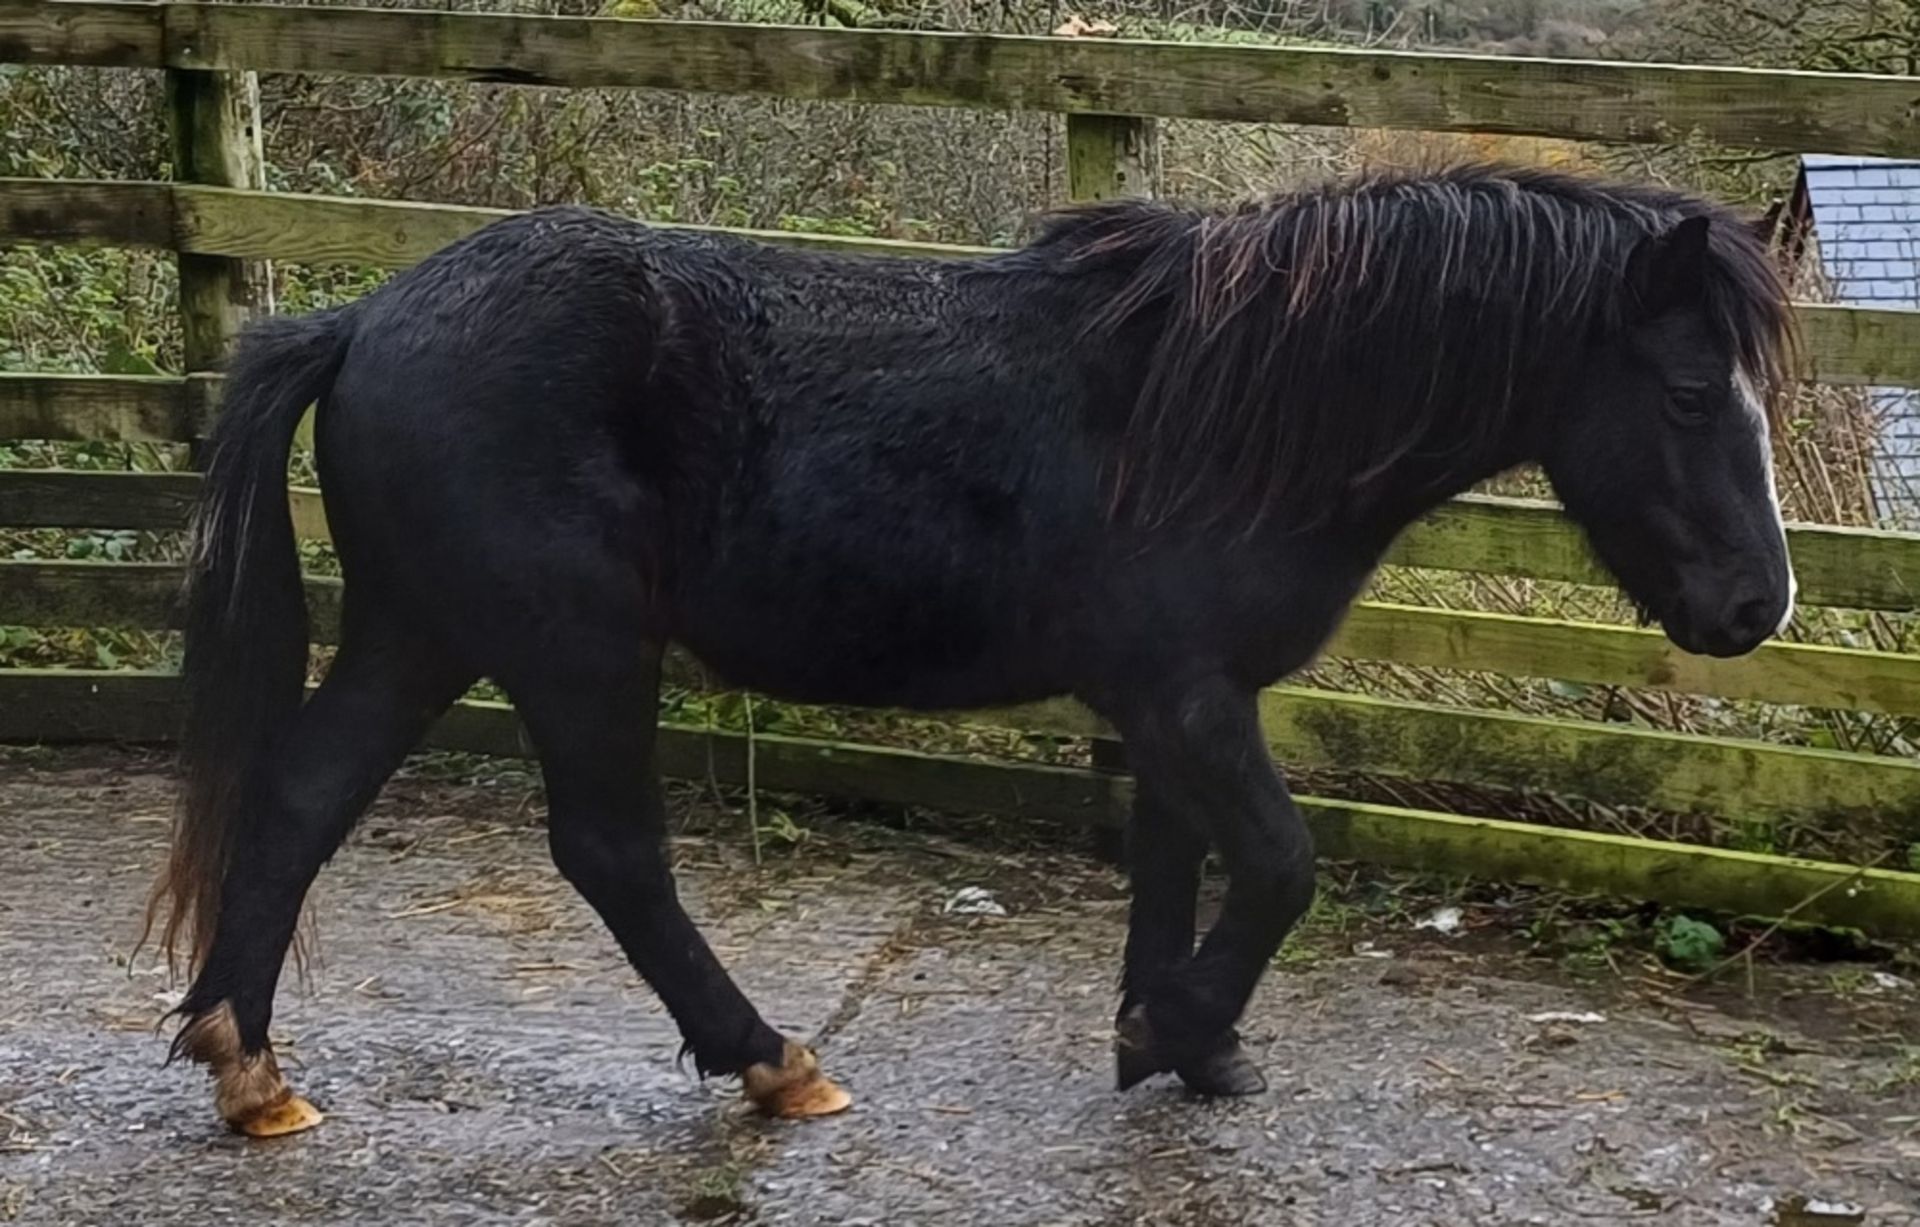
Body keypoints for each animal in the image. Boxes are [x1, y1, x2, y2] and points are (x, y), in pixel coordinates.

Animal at [149, 161, 1797, 1136]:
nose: (1757, 610)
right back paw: (771, 1057)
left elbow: (1171, 866)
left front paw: (1174, 1042)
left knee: (299, 798)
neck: (1221, 407)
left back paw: (248, 1066)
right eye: (1688, 389)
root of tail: (365, 318)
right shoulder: (1191, 696)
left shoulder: (1167, 700)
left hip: (423, 630)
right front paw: (1184, 1025)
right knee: (609, 851)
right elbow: (1278, 867)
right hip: (572, 649)